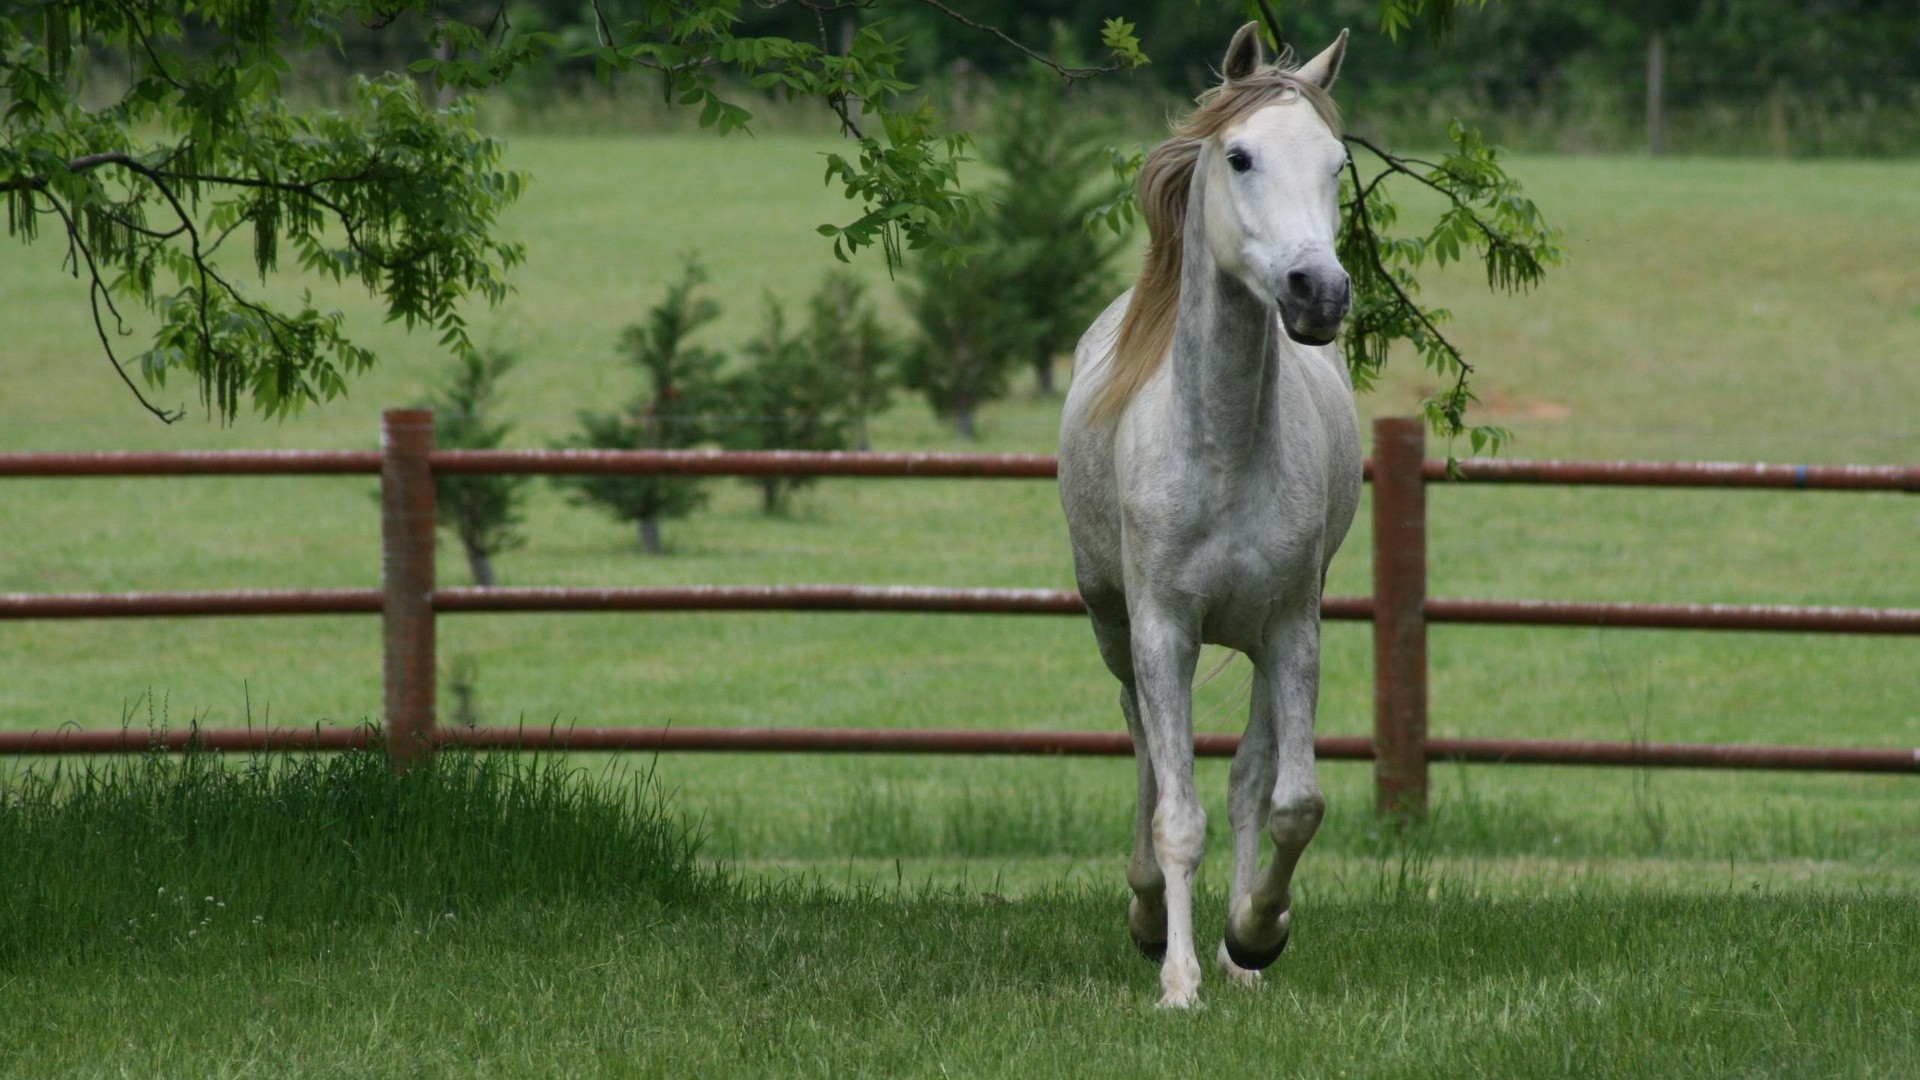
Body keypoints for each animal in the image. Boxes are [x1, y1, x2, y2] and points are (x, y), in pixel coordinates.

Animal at [1057, 23, 1362, 1009]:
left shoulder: (1292, 628)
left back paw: (1235, 955)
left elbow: (1288, 800)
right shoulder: (1163, 630)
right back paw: (1151, 919)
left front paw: (1255, 936)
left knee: (1247, 779)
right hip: (1115, 629)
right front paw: (1179, 981)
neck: (1222, 450)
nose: (1318, 292)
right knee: (1147, 754)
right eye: (1240, 156)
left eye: (1337, 164)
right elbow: (1176, 813)